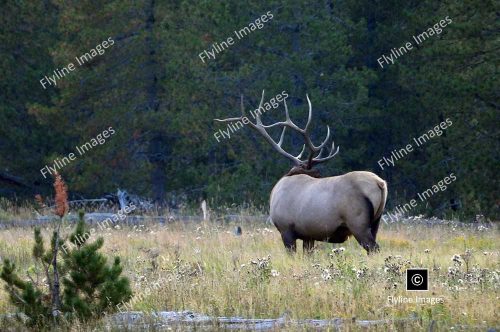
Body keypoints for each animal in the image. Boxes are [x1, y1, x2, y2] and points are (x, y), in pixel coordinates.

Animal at [215, 91, 386, 254]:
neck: (275, 193)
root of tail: (380, 183)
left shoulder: (286, 229)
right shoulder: (308, 235)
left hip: (358, 223)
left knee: (374, 248)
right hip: (375, 222)